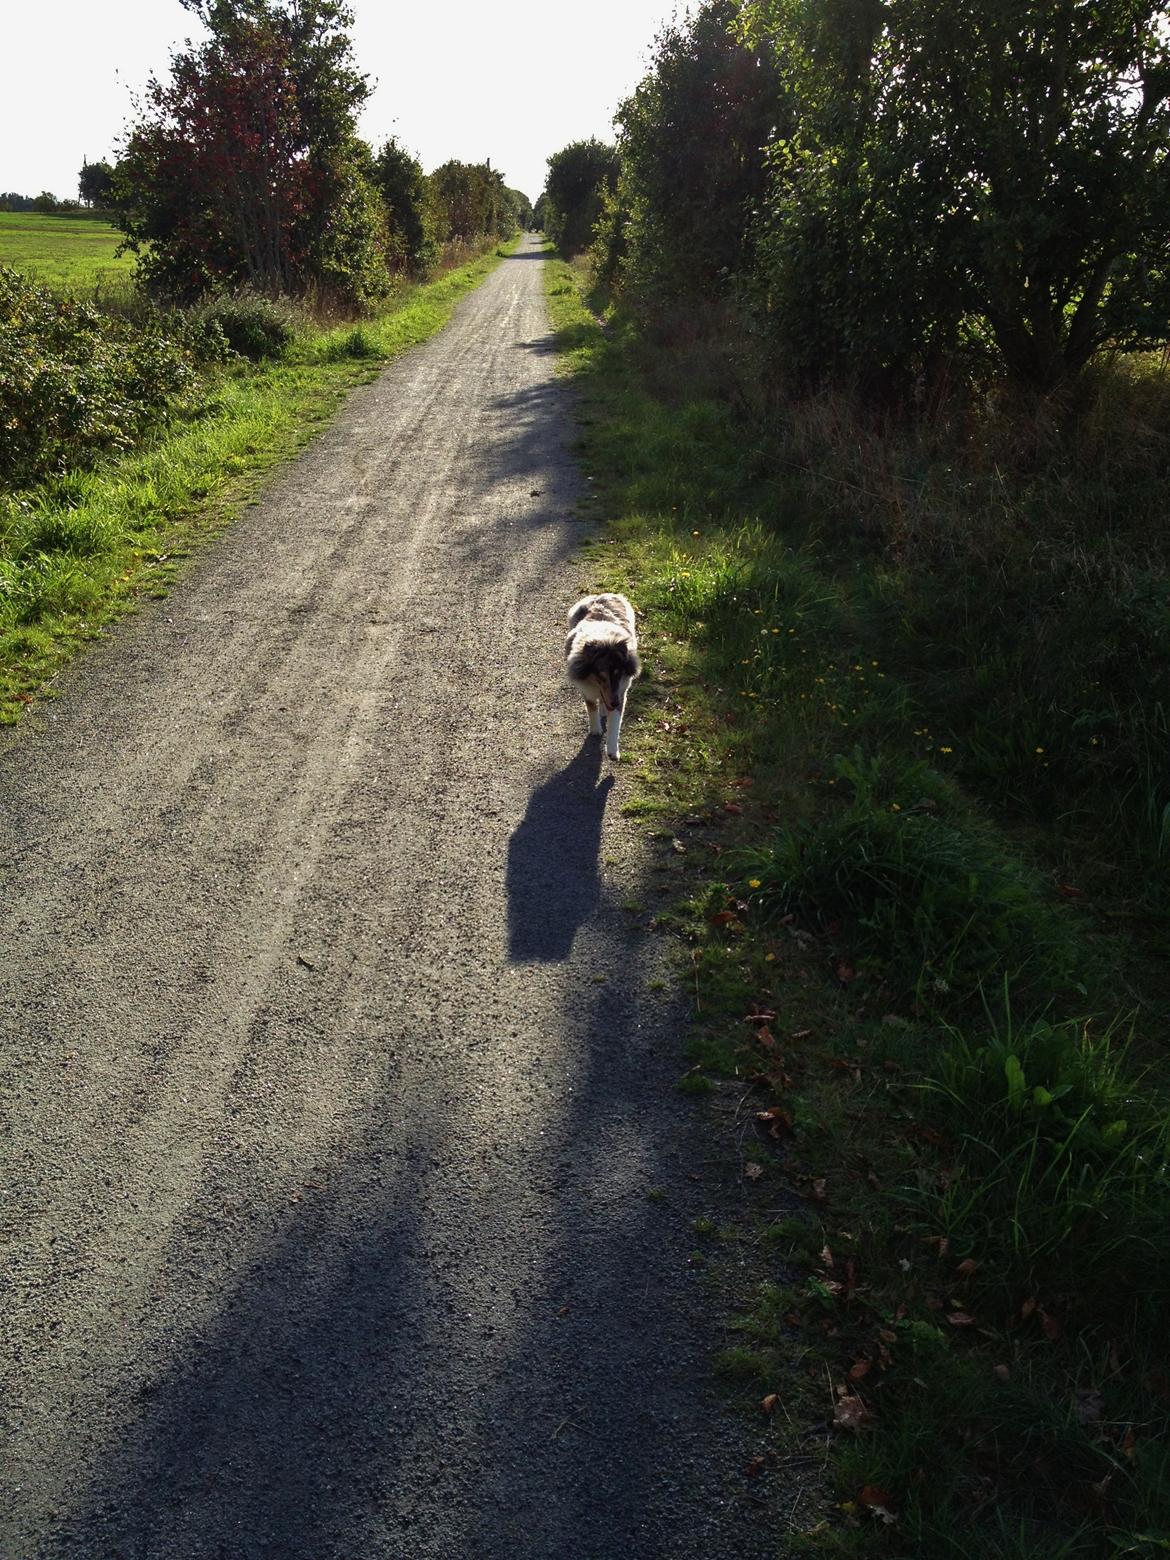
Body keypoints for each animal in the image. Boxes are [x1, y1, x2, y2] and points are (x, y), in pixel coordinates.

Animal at [564, 589, 642, 761]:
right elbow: (591, 707)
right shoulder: (586, 688)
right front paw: (596, 730)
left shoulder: (621, 691)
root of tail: (600, 595)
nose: (614, 702)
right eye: (600, 676)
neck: (604, 640)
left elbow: (615, 723)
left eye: (619, 674)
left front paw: (613, 752)